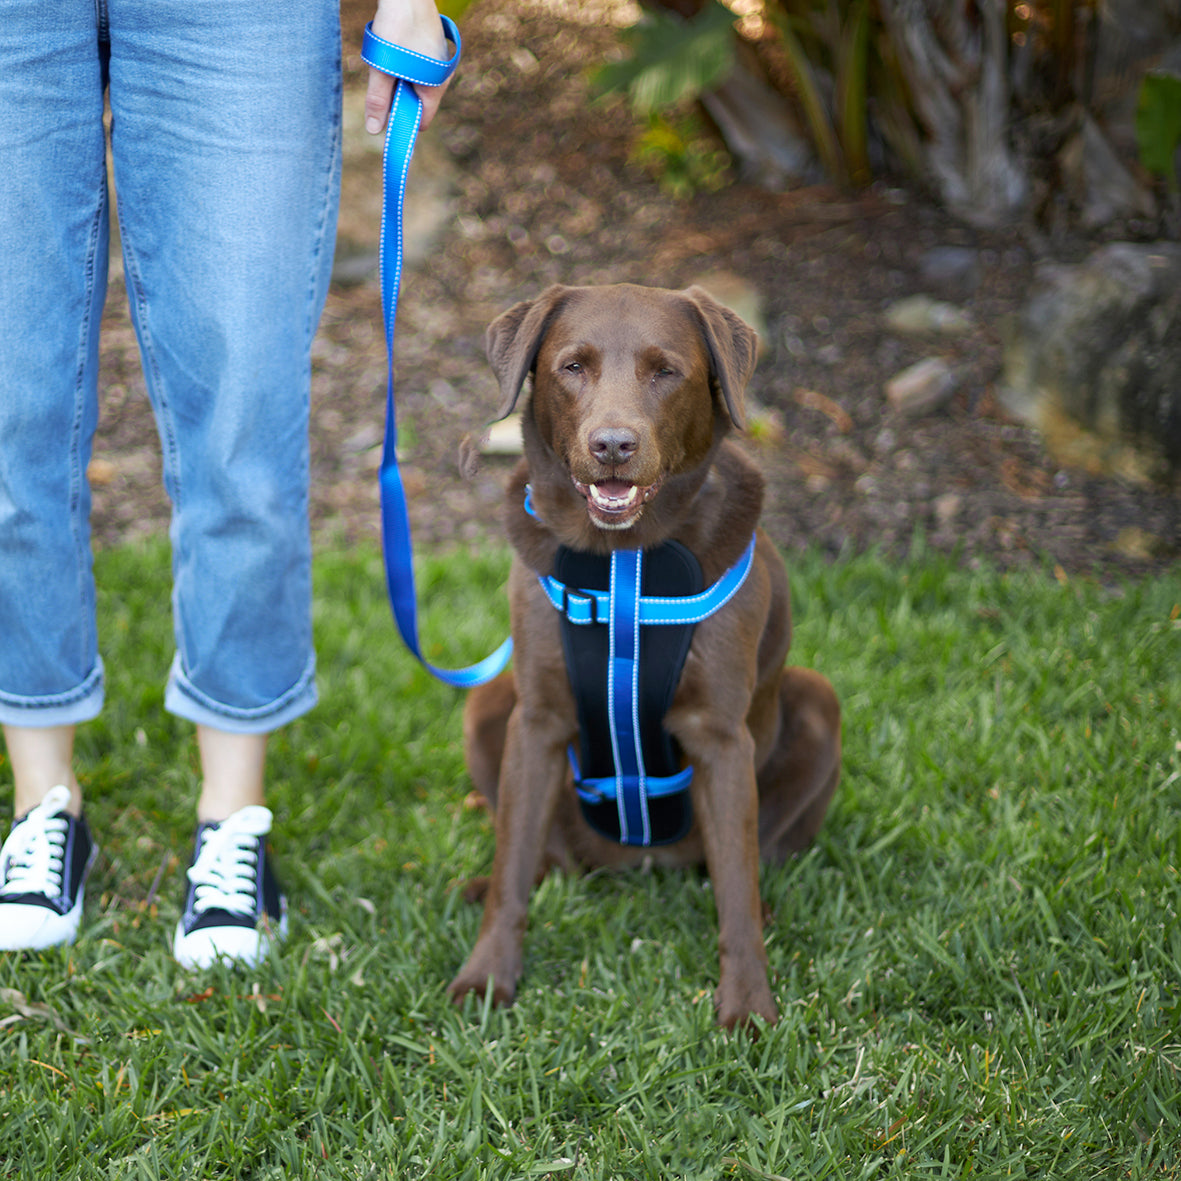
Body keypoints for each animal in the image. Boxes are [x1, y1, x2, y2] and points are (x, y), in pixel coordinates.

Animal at [446, 281, 845, 1029]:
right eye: (572, 366)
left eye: (666, 372)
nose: (612, 445)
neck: (621, 564)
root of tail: (635, 864)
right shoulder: (536, 721)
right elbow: (512, 866)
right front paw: (486, 978)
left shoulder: (721, 738)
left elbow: (736, 888)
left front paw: (747, 1006)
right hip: (488, 705)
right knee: (542, 859)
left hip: (818, 701)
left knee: (750, 862)